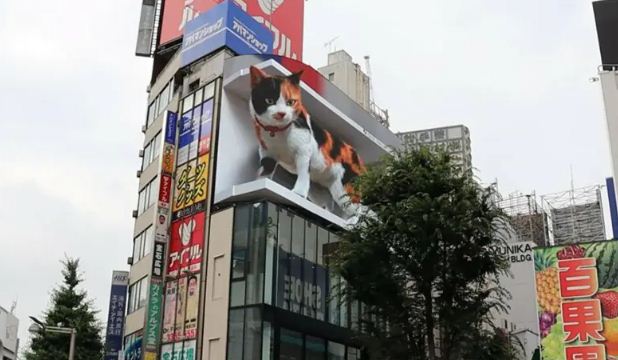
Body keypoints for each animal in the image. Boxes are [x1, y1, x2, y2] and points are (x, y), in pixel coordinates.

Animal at [248, 65, 364, 217]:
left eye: (291, 102)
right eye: (269, 100)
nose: (281, 113)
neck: (278, 133)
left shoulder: (303, 151)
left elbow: (303, 173)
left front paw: (297, 193)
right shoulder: (267, 155)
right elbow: (263, 174)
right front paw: (257, 196)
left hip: (345, 189)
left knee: (360, 210)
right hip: (321, 188)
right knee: (330, 204)